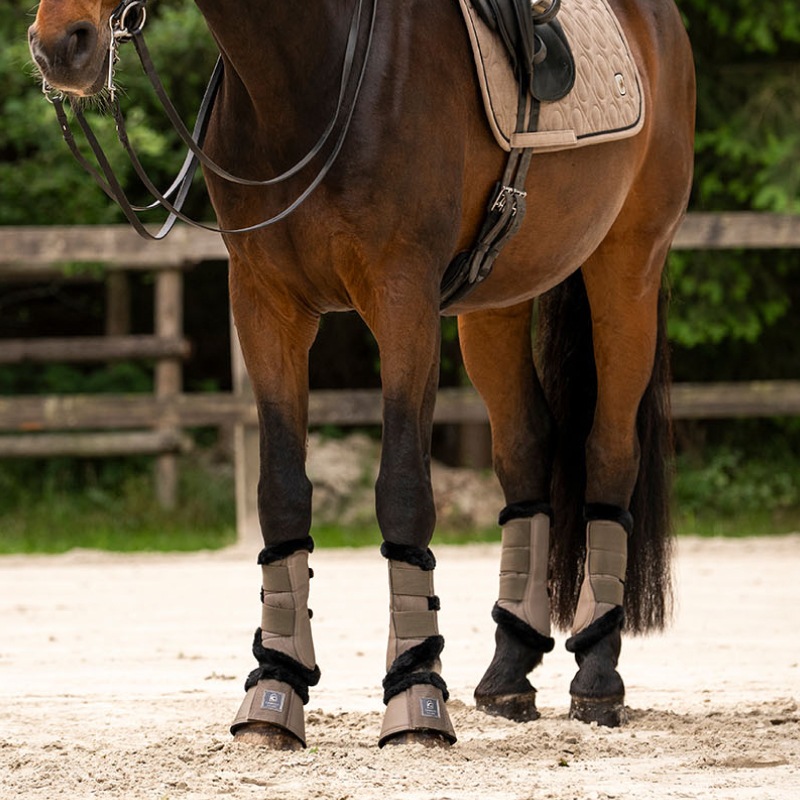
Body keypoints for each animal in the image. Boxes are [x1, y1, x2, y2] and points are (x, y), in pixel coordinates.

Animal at [28, 0, 695, 749]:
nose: (61, 46)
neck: (310, 69)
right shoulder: (265, 304)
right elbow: (282, 492)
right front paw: (275, 690)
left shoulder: (402, 300)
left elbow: (403, 491)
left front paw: (416, 697)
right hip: (495, 302)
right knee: (527, 448)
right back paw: (508, 670)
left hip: (628, 267)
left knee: (609, 451)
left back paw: (598, 676)